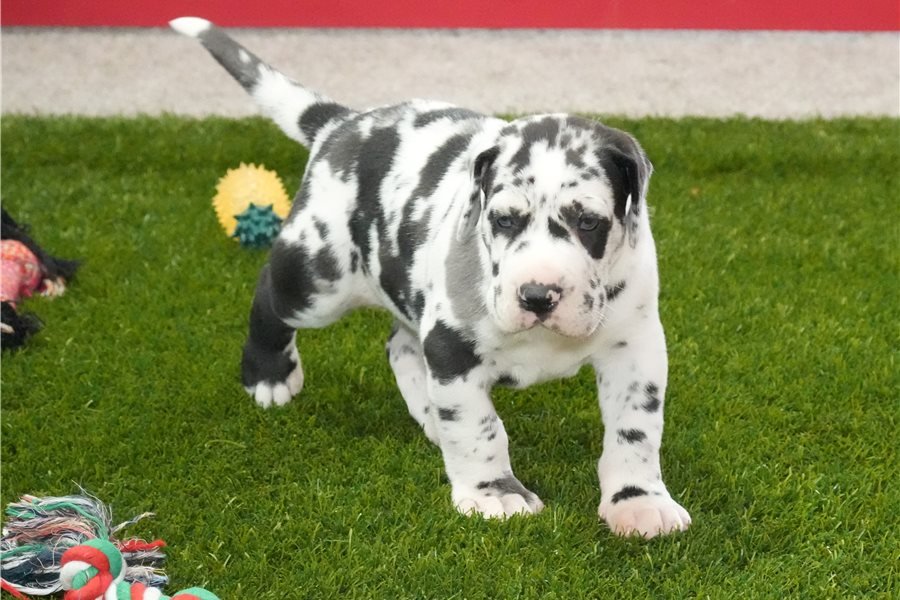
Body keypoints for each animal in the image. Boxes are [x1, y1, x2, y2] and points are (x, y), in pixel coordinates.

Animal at [171, 17, 690, 538]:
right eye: (504, 220)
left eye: (588, 222)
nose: (538, 295)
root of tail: (341, 124)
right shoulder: (451, 348)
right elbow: (480, 428)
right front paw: (494, 493)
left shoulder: (635, 348)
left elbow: (634, 431)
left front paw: (638, 500)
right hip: (318, 278)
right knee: (270, 294)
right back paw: (269, 375)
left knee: (400, 347)